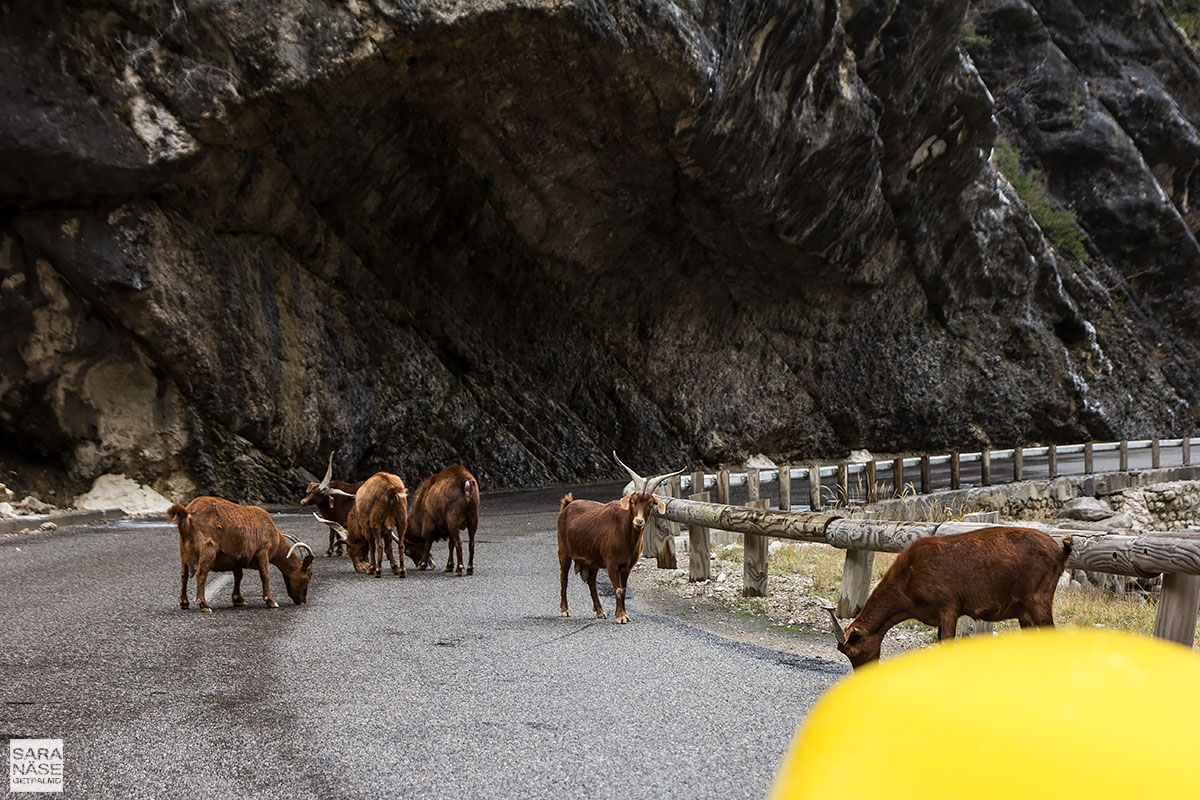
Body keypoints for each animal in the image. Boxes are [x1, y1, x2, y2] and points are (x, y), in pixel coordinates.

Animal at [820, 525, 1075, 671]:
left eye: (853, 651)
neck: (908, 578)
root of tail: (1061, 551)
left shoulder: (948, 606)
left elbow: (946, 642)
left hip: (1039, 597)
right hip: (1024, 609)